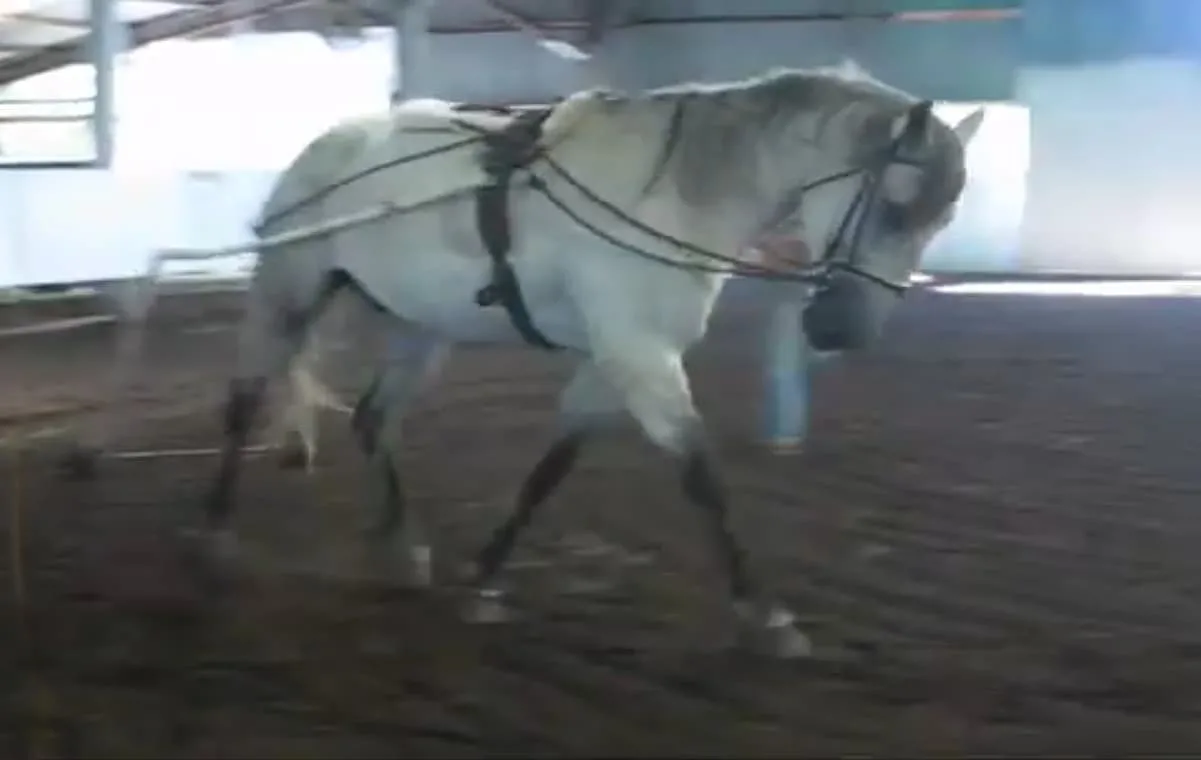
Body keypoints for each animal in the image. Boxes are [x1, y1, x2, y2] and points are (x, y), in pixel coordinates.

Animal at [201, 65, 980, 653]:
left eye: (942, 217)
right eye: (894, 204)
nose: (842, 328)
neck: (672, 196)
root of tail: (327, 144)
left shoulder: (614, 357)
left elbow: (553, 468)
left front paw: (484, 577)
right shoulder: (640, 354)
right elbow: (701, 474)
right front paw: (765, 616)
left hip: (424, 328)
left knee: (371, 419)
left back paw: (403, 550)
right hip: (287, 291)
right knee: (244, 399)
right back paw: (218, 534)